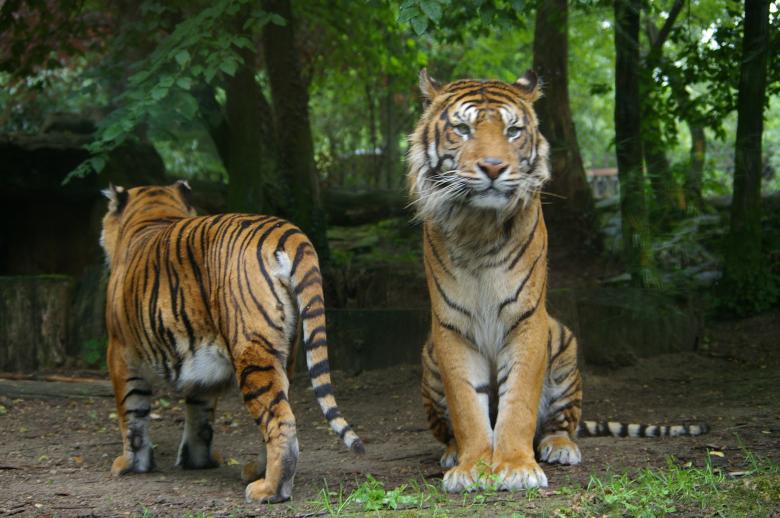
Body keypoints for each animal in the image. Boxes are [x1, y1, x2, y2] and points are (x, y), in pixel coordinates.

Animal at [100, 181, 364, 503]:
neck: (153, 213)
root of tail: (287, 231)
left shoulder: (120, 351)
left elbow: (132, 410)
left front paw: (130, 464)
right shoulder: (199, 363)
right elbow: (200, 416)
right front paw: (197, 461)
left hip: (252, 352)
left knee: (280, 420)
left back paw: (269, 489)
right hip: (285, 352)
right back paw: (256, 473)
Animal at [408, 69, 707, 493]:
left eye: (513, 130)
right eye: (463, 129)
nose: (493, 167)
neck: (479, 225)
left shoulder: (528, 319)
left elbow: (518, 400)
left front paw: (516, 467)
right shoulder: (451, 327)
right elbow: (467, 405)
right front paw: (472, 467)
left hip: (565, 345)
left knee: (562, 423)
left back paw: (560, 447)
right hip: (429, 355)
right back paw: (452, 452)